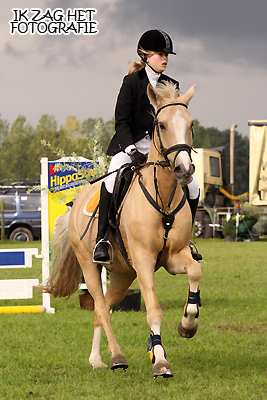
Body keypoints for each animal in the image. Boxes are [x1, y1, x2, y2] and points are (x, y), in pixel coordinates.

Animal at [40, 81, 202, 378]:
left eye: (191, 123)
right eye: (161, 125)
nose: (184, 170)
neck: (162, 195)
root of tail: (77, 199)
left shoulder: (174, 257)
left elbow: (195, 271)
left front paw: (187, 325)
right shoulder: (144, 260)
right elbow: (153, 310)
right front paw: (160, 362)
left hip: (122, 274)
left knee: (102, 308)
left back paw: (96, 359)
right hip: (91, 265)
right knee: (101, 308)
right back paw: (116, 357)